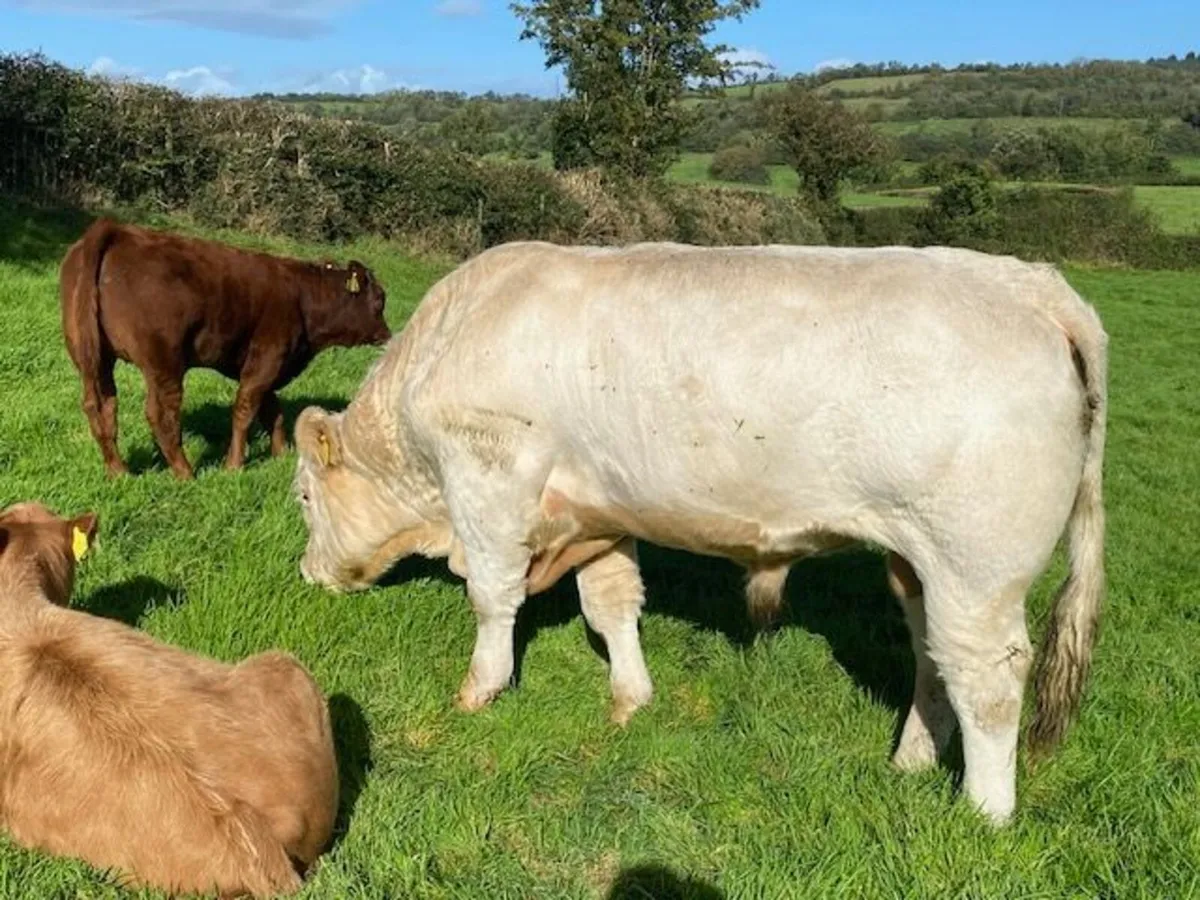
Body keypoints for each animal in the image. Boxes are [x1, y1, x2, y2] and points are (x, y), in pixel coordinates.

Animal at [60, 219, 392, 479]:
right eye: (379, 300)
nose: (388, 334)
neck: (303, 298)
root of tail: (117, 230)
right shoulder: (266, 358)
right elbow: (245, 411)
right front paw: (234, 465)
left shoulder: (271, 365)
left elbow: (273, 412)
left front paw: (281, 453)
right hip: (164, 362)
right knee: (161, 415)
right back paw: (185, 473)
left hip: (95, 360)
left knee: (102, 408)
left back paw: (119, 472)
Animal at [290, 241, 1108, 825]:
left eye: (302, 496)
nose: (304, 572)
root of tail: (1030, 284)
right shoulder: (600, 513)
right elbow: (611, 605)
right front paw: (630, 697)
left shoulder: (489, 483)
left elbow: (493, 598)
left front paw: (478, 690)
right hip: (920, 564)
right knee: (934, 659)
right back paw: (908, 763)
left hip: (977, 568)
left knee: (989, 681)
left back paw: (985, 815)